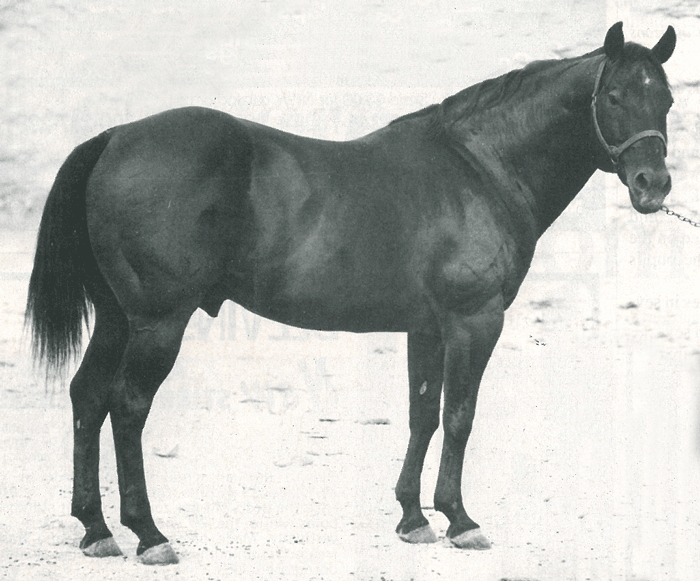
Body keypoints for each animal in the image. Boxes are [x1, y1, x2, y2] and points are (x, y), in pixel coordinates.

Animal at [26, 22, 676, 565]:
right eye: (614, 97)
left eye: (666, 100)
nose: (653, 186)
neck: (480, 168)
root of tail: (115, 139)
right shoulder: (474, 320)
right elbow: (459, 415)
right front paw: (461, 520)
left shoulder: (427, 325)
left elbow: (423, 413)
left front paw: (414, 518)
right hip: (158, 322)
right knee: (127, 406)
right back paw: (149, 534)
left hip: (118, 319)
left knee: (88, 397)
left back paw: (96, 529)